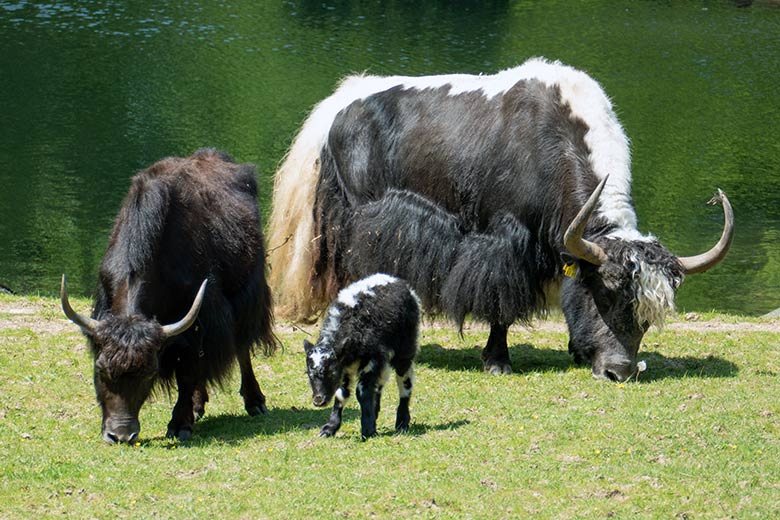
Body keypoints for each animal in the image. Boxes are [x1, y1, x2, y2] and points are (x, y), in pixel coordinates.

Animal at [63, 149, 278, 442]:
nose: (120, 435)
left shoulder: (200, 320)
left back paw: (254, 401)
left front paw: (179, 425)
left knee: (242, 347)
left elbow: (187, 373)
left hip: (248, 295)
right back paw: (199, 405)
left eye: (149, 372)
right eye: (100, 369)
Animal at [268, 58, 732, 382]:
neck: (551, 146)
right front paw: (497, 361)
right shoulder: (505, 240)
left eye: (647, 314)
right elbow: (500, 303)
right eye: (606, 294)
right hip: (359, 216)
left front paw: (576, 349)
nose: (619, 372)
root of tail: (336, 105)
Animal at [304, 274, 420, 440]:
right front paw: (330, 428)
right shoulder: (346, 368)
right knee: (380, 382)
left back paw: (402, 422)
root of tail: (396, 280)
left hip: (405, 347)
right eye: (309, 374)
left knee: (405, 382)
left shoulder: (370, 361)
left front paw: (367, 429)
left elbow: (362, 392)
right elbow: (342, 394)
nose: (319, 400)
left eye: (331, 373)